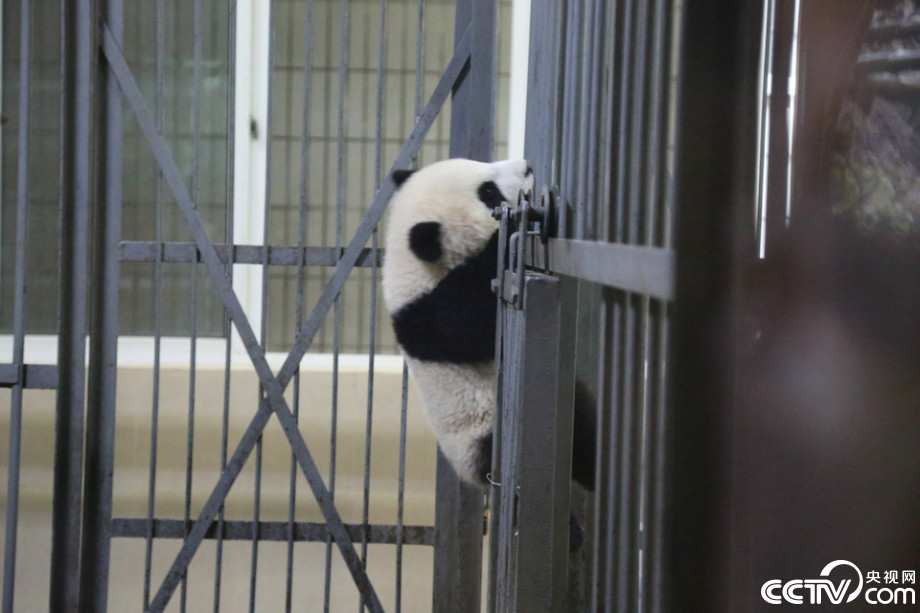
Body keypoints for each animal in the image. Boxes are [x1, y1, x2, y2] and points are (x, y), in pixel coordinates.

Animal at [381, 158, 596, 514]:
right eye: (488, 193)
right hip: (482, 435)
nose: (526, 166)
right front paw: (511, 231)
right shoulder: (431, 313)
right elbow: (471, 326)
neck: (412, 266)